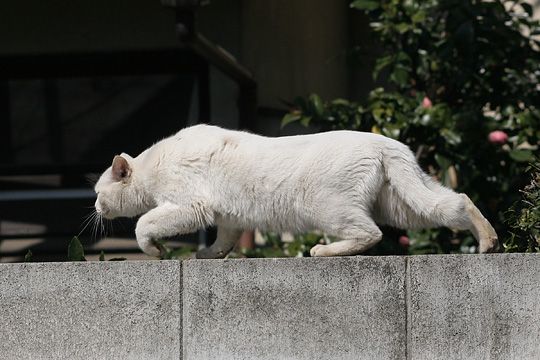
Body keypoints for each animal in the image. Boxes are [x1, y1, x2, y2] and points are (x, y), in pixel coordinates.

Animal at [94, 125, 498, 258]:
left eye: (98, 192)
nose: (95, 207)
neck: (153, 163)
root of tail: (386, 143)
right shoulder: (227, 215)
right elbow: (226, 237)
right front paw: (208, 255)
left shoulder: (191, 202)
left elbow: (145, 223)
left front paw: (155, 249)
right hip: (400, 200)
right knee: (451, 202)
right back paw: (488, 240)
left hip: (325, 204)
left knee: (369, 232)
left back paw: (321, 251)